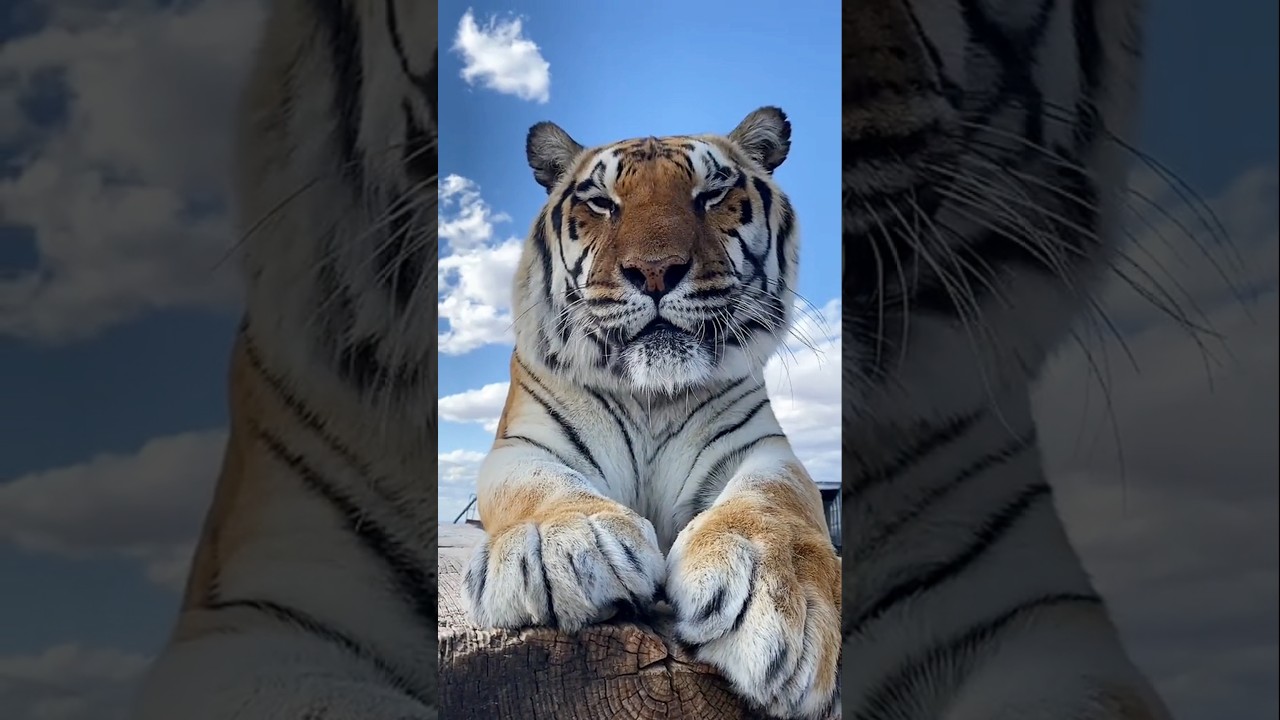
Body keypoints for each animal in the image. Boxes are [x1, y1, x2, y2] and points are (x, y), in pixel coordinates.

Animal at [458, 107, 842, 719]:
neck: (651, 397)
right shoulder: (523, 445)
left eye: (712, 193)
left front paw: (788, 606)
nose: (656, 271)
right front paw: (561, 545)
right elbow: (539, 484)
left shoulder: (761, 446)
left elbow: (775, 498)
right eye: (601, 202)